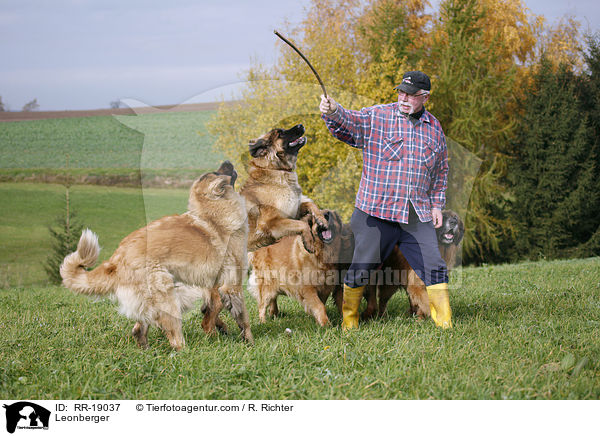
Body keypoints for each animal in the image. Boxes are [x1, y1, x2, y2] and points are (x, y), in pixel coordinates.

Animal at [62, 162, 254, 350]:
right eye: (218, 172)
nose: (227, 162)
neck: (212, 215)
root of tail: (117, 258)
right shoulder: (232, 284)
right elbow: (242, 318)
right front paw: (249, 342)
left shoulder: (212, 286)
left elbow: (212, 311)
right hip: (166, 296)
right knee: (174, 337)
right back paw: (184, 351)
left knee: (139, 329)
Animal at [240, 122, 328, 252]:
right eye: (280, 134)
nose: (301, 124)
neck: (276, 169)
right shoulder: (271, 223)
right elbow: (303, 224)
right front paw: (309, 241)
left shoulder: (292, 211)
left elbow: (310, 204)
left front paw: (321, 220)